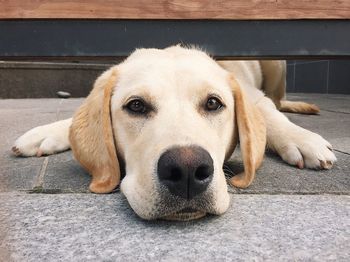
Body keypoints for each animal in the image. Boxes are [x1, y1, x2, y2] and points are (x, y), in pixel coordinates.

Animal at [12, 46, 336, 220]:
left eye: (213, 103)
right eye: (136, 105)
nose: (187, 170)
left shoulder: (254, 97)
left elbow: (272, 117)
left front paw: (304, 141)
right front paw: (45, 133)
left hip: (276, 65)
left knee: (279, 102)